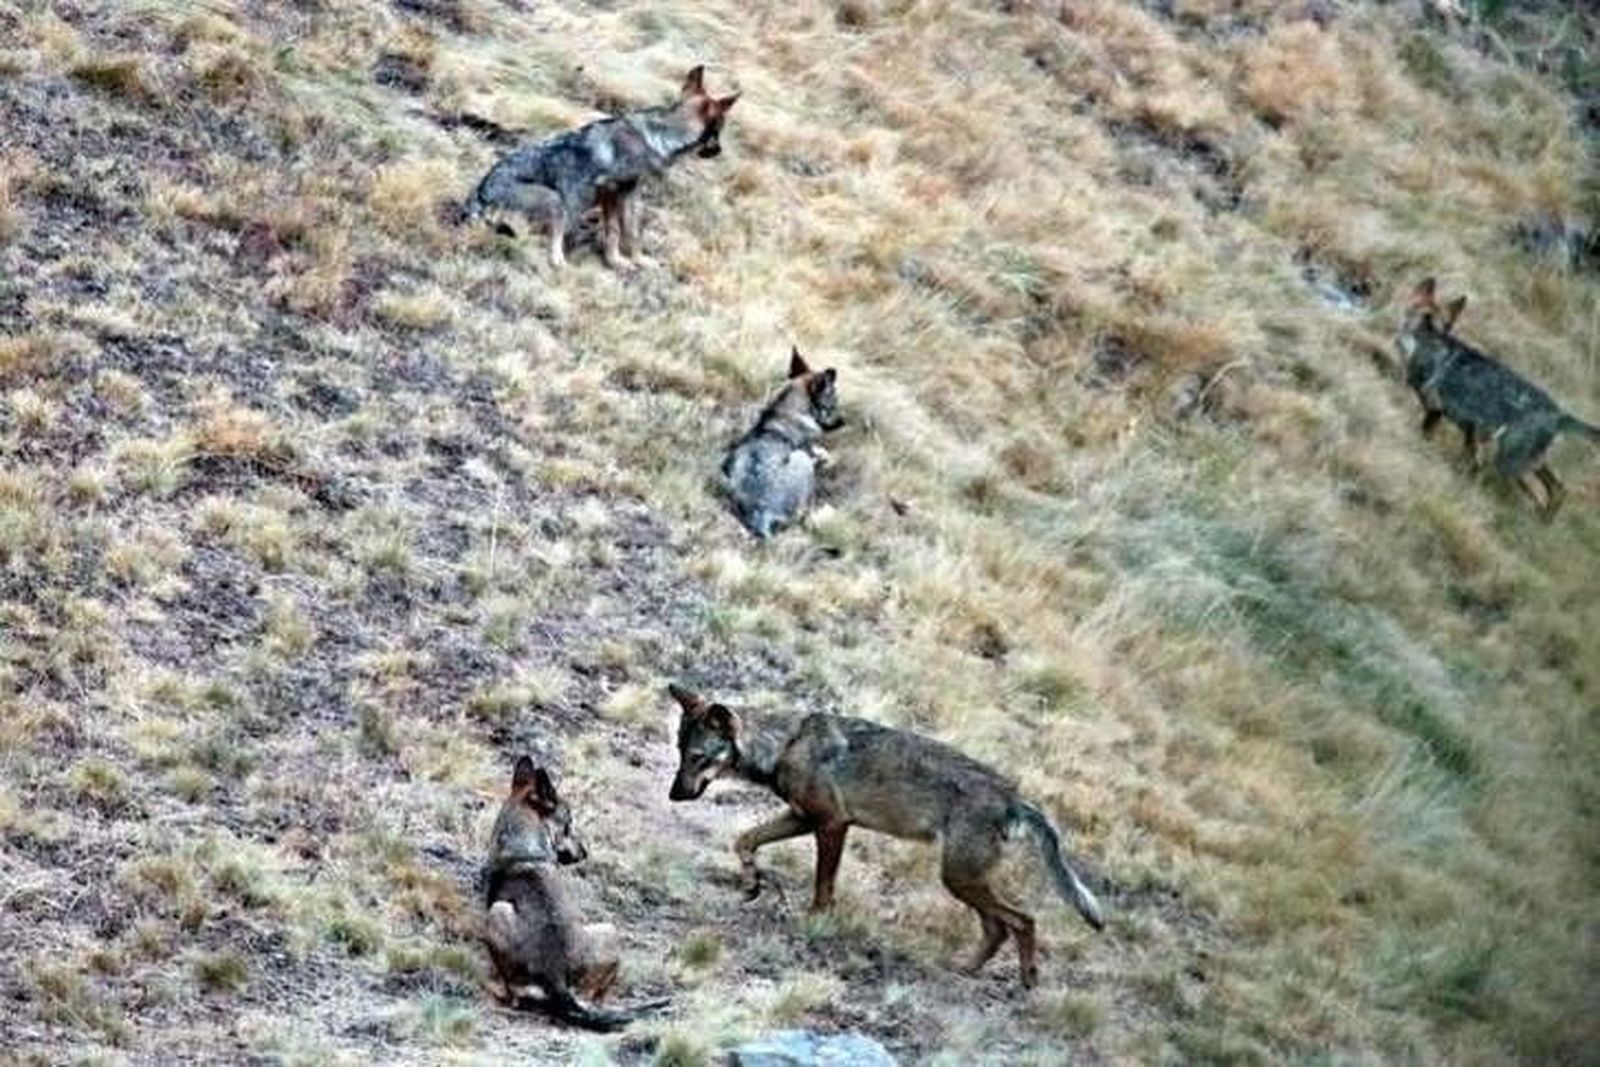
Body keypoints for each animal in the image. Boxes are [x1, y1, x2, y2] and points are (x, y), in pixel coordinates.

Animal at [463, 66, 739, 268]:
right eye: (720, 131)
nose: (719, 152)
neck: (660, 136)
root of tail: (479, 195)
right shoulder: (611, 189)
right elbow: (617, 230)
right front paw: (619, 261)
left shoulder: (626, 193)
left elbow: (629, 231)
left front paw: (635, 260)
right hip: (556, 201)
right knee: (550, 247)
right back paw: (561, 263)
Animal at [664, 685, 1105, 989]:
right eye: (679, 752)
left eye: (698, 757)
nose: (674, 795)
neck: (785, 745)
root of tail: (1014, 797)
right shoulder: (801, 818)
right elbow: (744, 840)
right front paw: (752, 882)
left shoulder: (831, 824)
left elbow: (823, 888)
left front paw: (813, 923)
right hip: (964, 881)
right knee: (999, 928)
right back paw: (962, 969)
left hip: (959, 879)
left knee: (1024, 920)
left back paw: (1027, 978)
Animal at [721, 347, 844, 539]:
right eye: (832, 404)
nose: (842, 420)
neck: (785, 408)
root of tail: (762, 512)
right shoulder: (809, 450)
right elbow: (825, 455)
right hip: (802, 459)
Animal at [1397, 277, 1598, 519]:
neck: (1428, 336)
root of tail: (1560, 414)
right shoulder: (1470, 431)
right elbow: (1471, 462)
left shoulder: (1437, 411)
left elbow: (1427, 435)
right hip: (1531, 461)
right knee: (1559, 490)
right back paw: (1543, 521)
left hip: (1509, 463)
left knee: (1532, 496)